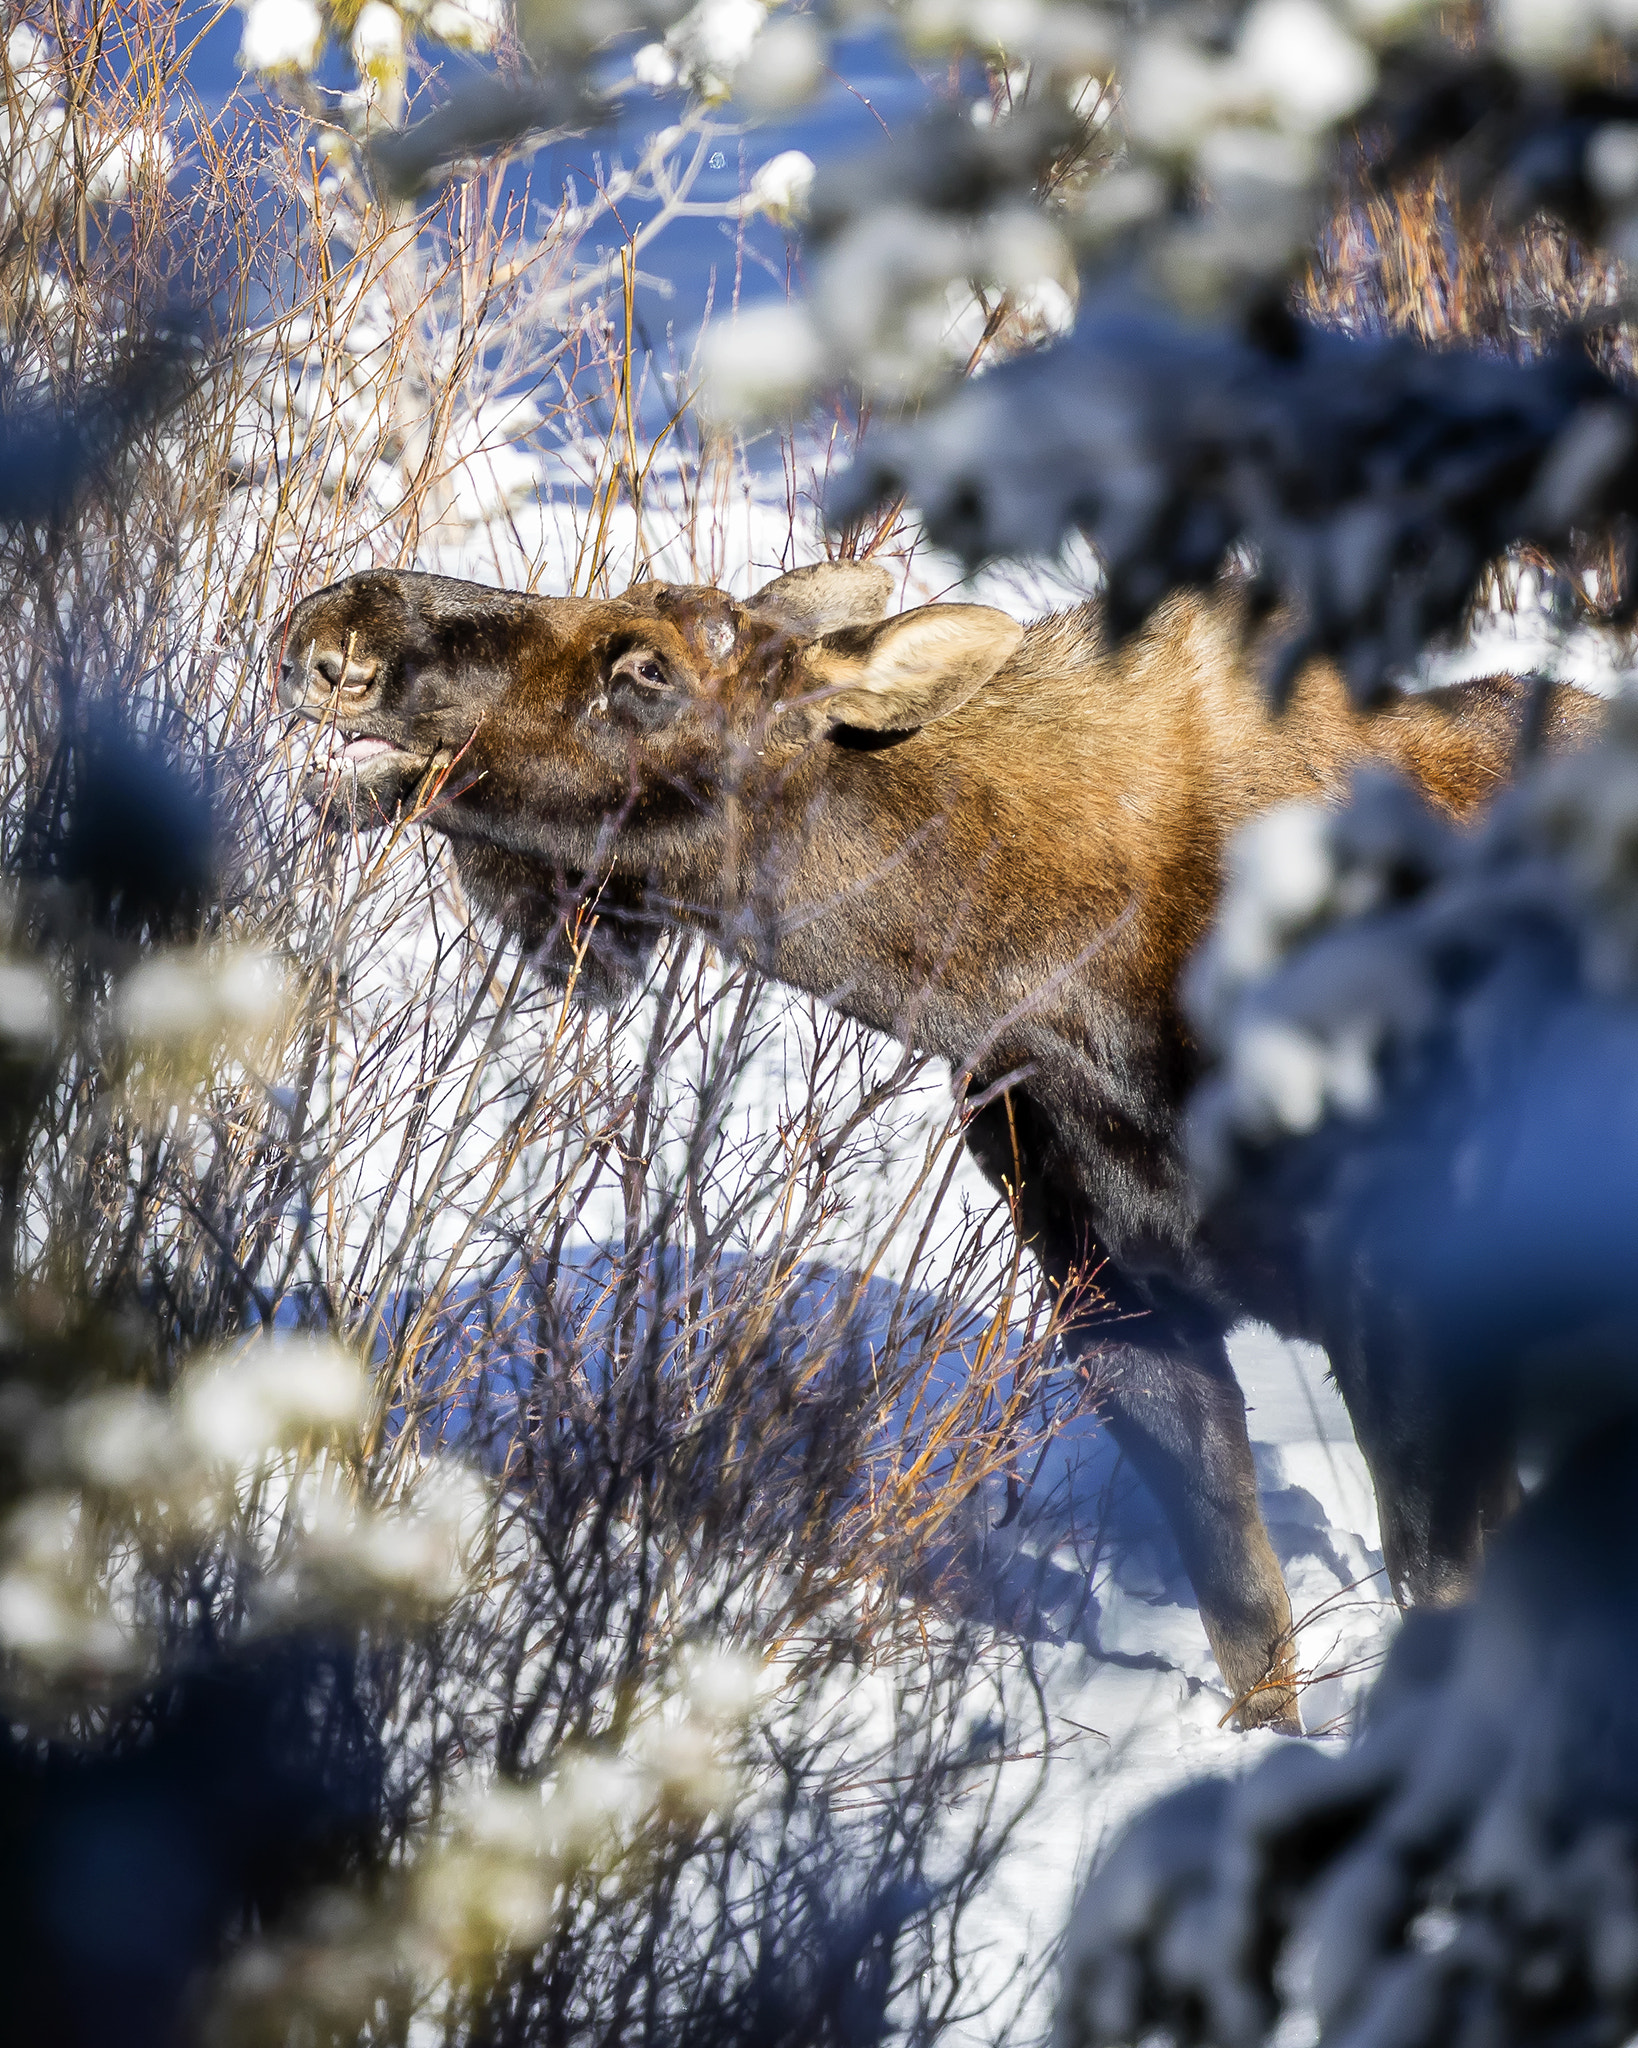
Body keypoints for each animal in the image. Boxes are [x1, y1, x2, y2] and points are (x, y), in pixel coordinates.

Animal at [278, 561, 1597, 1728]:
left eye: (646, 668)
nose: (335, 625)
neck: (1043, 998)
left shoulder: (1413, 1318)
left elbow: (1428, 1600)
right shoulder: (1113, 1299)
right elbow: (1248, 1620)